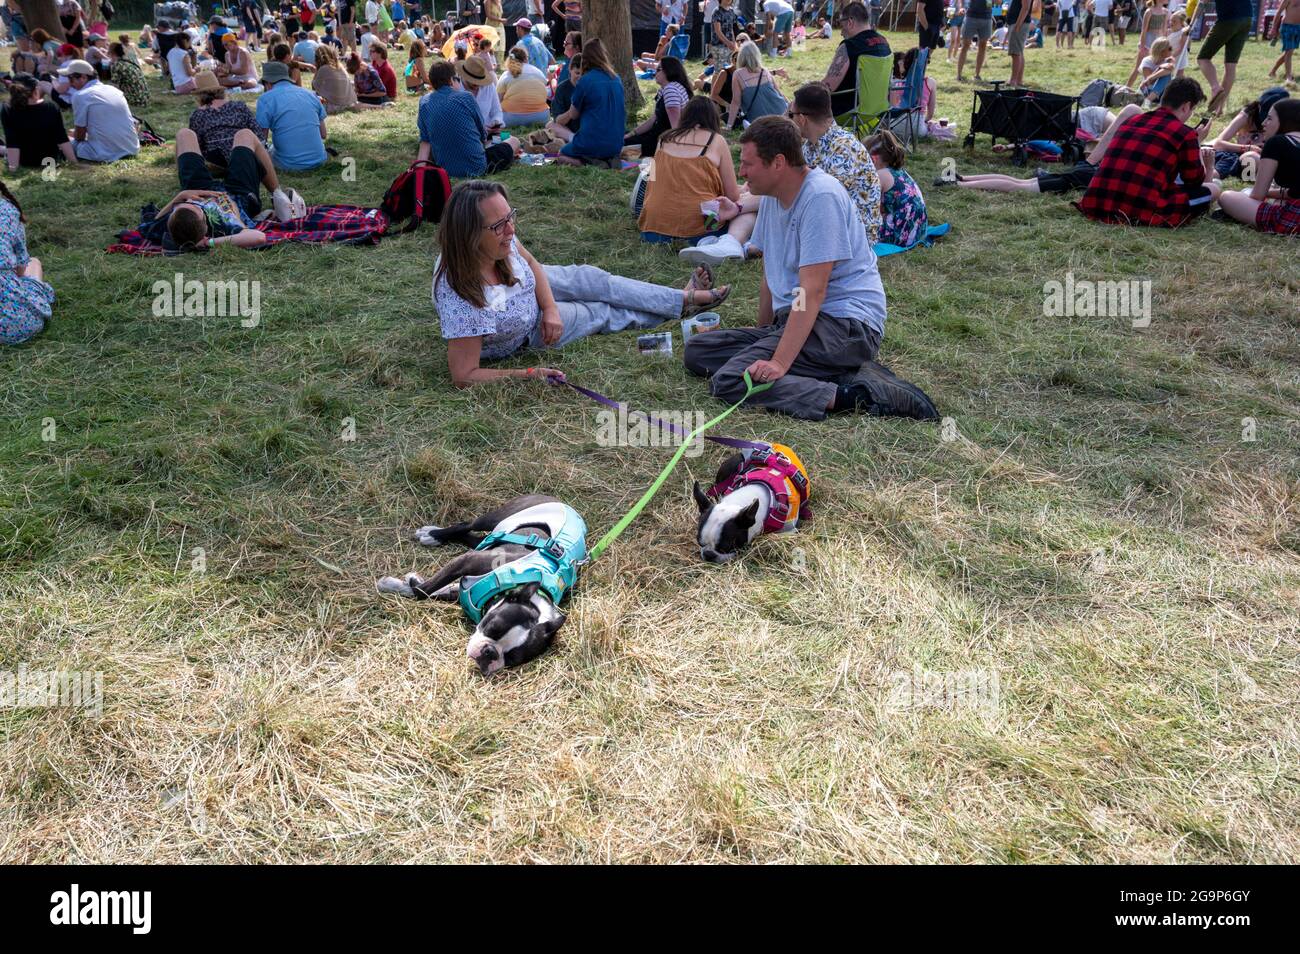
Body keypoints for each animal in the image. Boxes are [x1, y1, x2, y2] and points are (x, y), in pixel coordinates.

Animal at [377, 496, 590, 675]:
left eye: (512, 658)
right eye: (493, 627)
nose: (490, 652)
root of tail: (567, 505)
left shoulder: (462, 589)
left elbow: (433, 590)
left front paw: (404, 584)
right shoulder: (468, 561)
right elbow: (425, 590)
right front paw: (396, 585)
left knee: (475, 538)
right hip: (500, 516)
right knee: (467, 525)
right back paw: (433, 534)